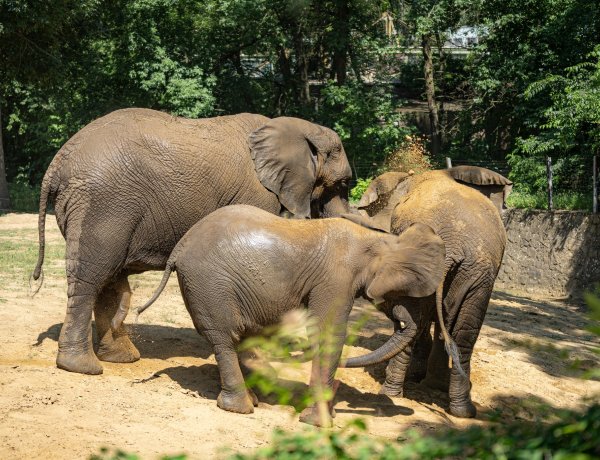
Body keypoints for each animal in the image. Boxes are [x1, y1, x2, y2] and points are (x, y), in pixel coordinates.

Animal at [32, 109, 352, 376]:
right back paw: (81, 367)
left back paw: (121, 358)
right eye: (342, 184)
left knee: (108, 278)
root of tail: (59, 159)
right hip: (103, 204)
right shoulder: (258, 192)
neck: (295, 127)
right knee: (91, 276)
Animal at [344, 167, 512, 418]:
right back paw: (461, 409)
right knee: (462, 333)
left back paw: (392, 392)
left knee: (418, 323)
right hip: (476, 275)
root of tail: (452, 245)